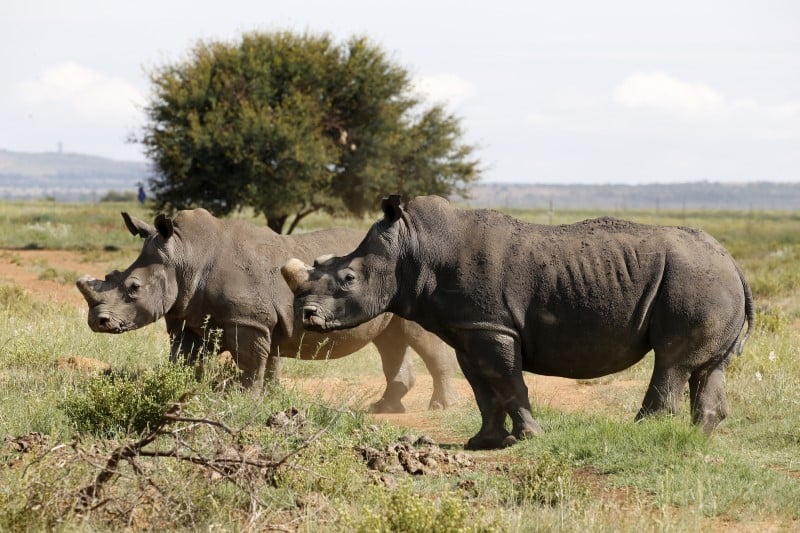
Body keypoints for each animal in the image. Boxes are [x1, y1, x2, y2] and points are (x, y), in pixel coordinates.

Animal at [75, 208, 457, 413]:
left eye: (133, 288)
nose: (98, 321)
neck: (185, 255)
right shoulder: (190, 317)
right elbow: (187, 359)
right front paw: (182, 393)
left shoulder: (249, 321)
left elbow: (251, 363)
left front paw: (245, 400)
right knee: (389, 339)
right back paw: (384, 409)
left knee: (417, 338)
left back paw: (439, 406)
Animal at [282, 195, 754, 450]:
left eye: (348, 279)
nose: (306, 315)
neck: (414, 249)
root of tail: (734, 262)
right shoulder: (469, 328)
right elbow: (483, 387)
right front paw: (484, 443)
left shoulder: (491, 327)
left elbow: (509, 381)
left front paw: (529, 438)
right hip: (710, 281)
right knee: (706, 367)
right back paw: (698, 438)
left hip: (696, 280)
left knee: (671, 362)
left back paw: (640, 435)